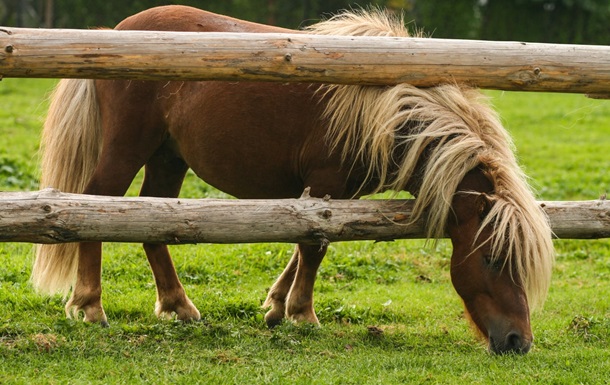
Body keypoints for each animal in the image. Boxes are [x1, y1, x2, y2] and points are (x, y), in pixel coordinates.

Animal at [35, 5, 552, 354]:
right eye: (492, 258)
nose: (518, 340)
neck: (381, 109)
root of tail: (114, 33)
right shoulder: (326, 184)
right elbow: (313, 246)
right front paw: (303, 314)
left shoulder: (329, 195)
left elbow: (306, 241)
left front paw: (277, 306)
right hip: (128, 149)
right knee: (94, 206)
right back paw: (90, 305)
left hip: (168, 158)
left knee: (155, 225)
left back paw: (178, 305)